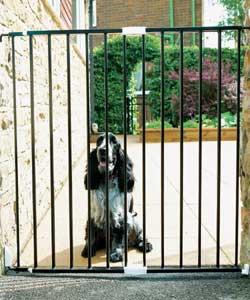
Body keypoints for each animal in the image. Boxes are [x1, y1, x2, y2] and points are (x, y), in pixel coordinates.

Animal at [81, 134, 152, 262]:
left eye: (114, 142)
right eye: (99, 141)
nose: (102, 150)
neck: (107, 180)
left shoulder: (121, 217)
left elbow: (118, 239)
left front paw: (115, 254)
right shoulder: (93, 215)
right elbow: (91, 234)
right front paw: (88, 250)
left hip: (135, 218)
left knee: (140, 235)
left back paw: (145, 245)